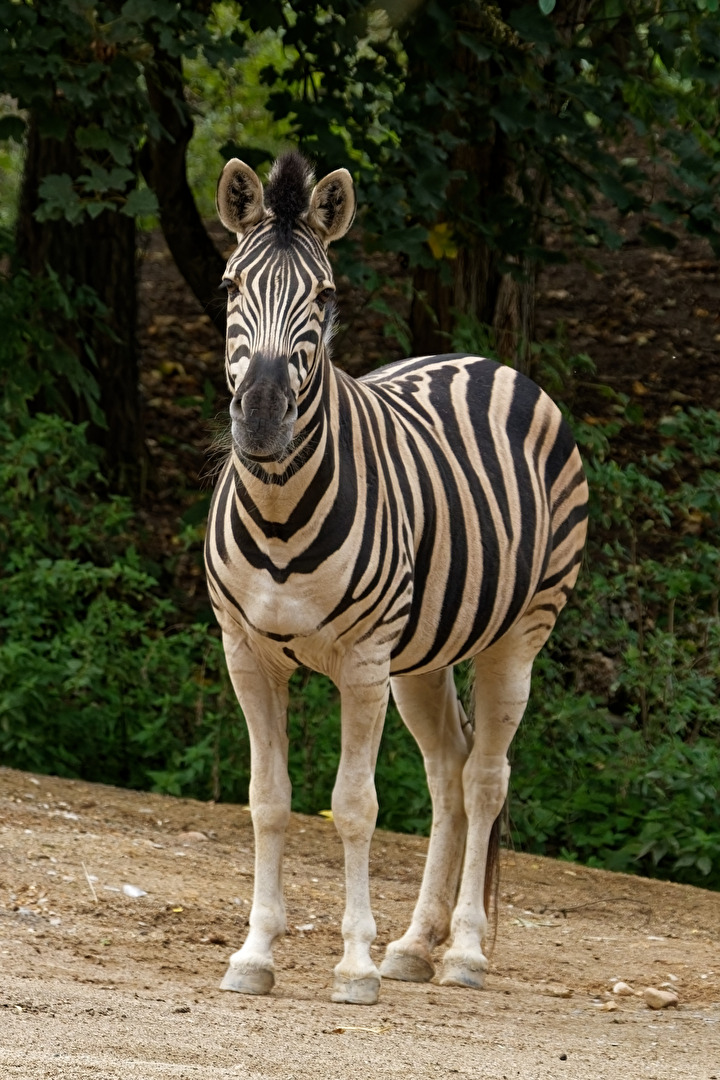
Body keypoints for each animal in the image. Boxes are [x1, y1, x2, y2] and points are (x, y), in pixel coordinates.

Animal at [205, 151, 588, 1006]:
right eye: (231, 285)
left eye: (324, 296)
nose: (263, 417)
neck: (277, 510)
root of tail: (483, 359)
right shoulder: (247, 655)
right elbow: (267, 803)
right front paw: (255, 954)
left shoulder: (362, 662)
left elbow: (353, 806)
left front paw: (351, 966)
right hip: (424, 658)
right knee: (449, 772)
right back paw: (414, 945)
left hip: (517, 636)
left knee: (485, 777)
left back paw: (464, 951)